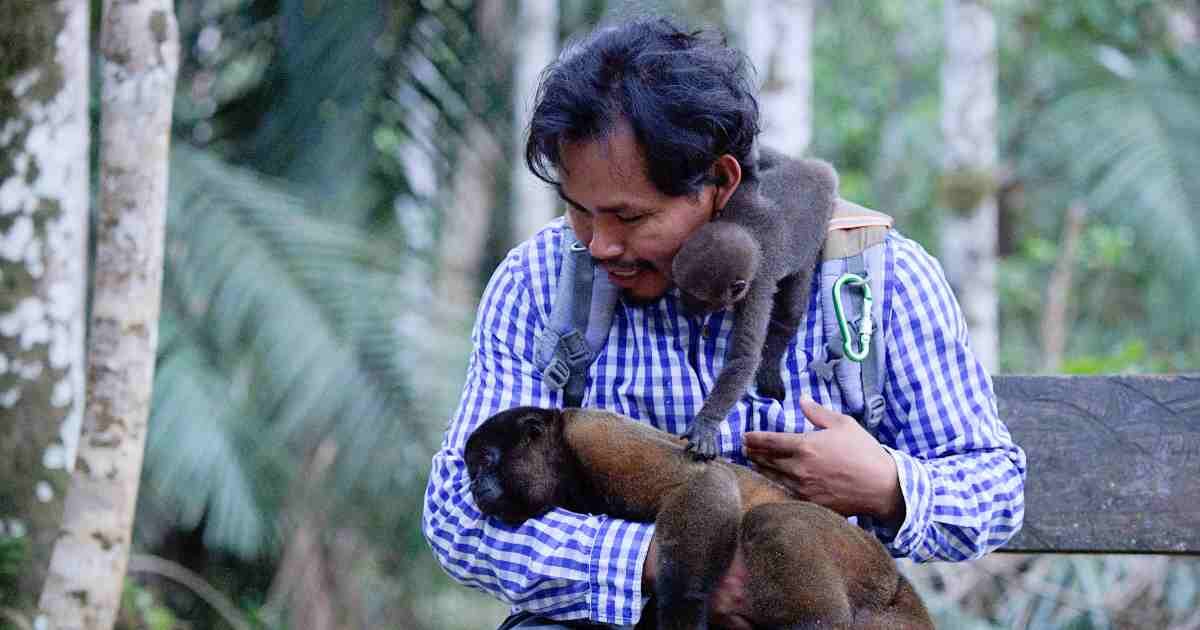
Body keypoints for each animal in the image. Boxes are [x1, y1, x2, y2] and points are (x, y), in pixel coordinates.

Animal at [465, 406, 934, 630]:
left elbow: (702, 481)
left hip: (863, 566)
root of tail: (898, 586)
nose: (473, 486)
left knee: (773, 521)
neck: (562, 461)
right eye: (471, 469)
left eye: (486, 462)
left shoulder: (595, 437)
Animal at [672, 147, 839, 459]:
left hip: (812, 247)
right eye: (680, 288)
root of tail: (823, 173)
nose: (684, 307)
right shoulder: (739, 202)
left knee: (790, 310)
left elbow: (744, 357)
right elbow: (748, 167)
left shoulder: (757, 287)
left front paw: (706, 423)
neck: (749, 232)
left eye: (697, 297)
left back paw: (771, 364)